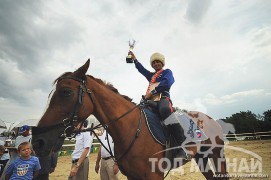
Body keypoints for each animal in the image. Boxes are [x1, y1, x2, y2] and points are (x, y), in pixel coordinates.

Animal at [31, 60, 230, 180]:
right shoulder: (132, 176)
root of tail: (213, 120)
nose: (38, 141)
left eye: (66, 92)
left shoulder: (153, 176)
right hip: (202, 157)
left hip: (217, 155)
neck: (131, 129)